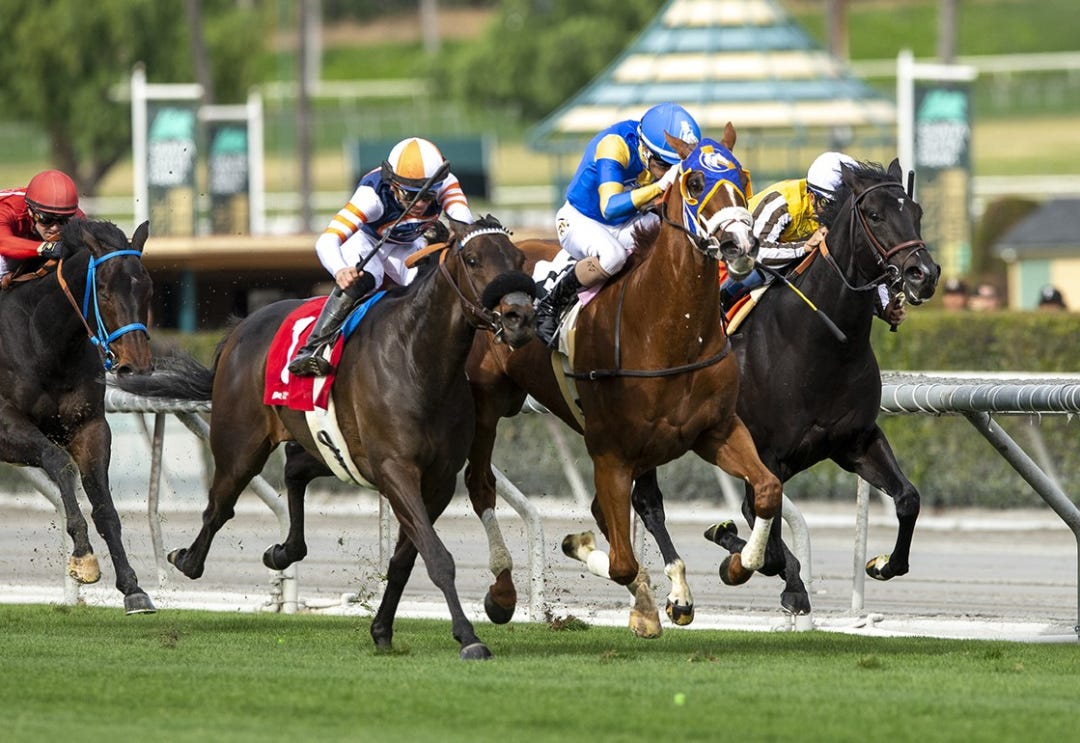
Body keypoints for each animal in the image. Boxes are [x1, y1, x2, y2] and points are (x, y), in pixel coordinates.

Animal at [0, 218, 156, 614]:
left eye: (146, 287)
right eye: (102, 290)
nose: (136, 366)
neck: (42, 340)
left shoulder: (90, 427)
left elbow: (104, 506)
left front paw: (133, 587)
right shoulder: (5, 427)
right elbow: (59, 462)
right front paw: (84, 557)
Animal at [114, 216, 535, 659]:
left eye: (518, 259)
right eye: (472, 260)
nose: (519, 317)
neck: (419, 360)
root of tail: (241, 327)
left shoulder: (436, 481)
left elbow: (406, 559)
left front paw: (382, 628)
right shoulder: (395, 470)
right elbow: (438, 557)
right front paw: (469, 638)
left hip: (332, 447)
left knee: (295, 469)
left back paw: (284, 550)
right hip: (241, 444)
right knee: (219, 507)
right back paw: (187, 559)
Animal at [463, 124, 783, 637]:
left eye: (744, 178)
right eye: (694, 182)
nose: (741, 246)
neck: (666, 329)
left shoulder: (715, 430)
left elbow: (768, 489)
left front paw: (735, 566)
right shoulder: (610, 453)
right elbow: (620, 562)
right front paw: (598, 562)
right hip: (488, 405)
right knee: (480, 483)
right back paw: (502, 592)